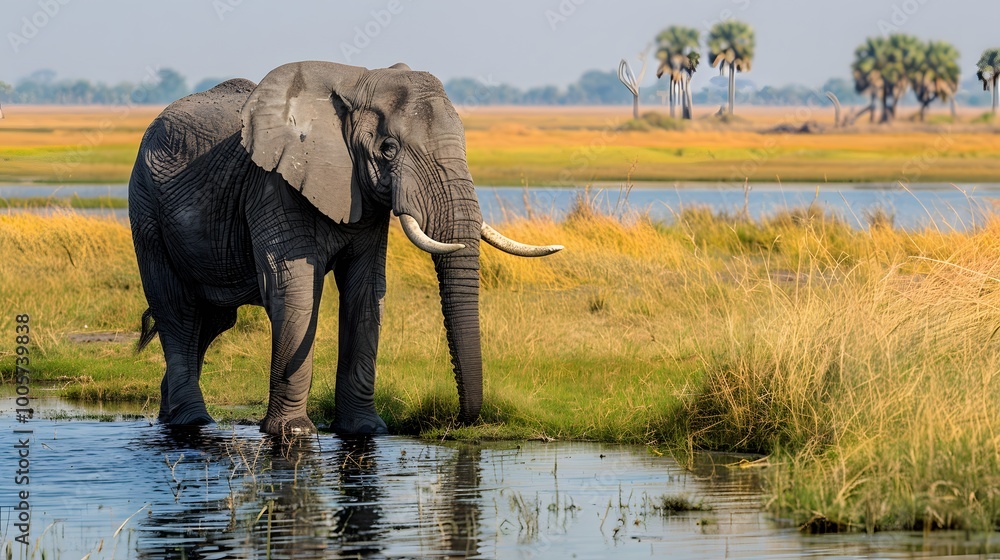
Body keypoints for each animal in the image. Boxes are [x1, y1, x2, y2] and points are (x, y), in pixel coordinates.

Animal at [128, 61, 562, 435]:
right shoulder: (273, 186)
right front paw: (293, 432)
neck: (356, 80)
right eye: (388, 149)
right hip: (145, 207)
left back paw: (171, 414)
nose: (458, 422)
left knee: (214, 319)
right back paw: (193, 421)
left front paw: (365, 429)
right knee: (177, 309)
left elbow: (366, 292)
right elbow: (293, 290)